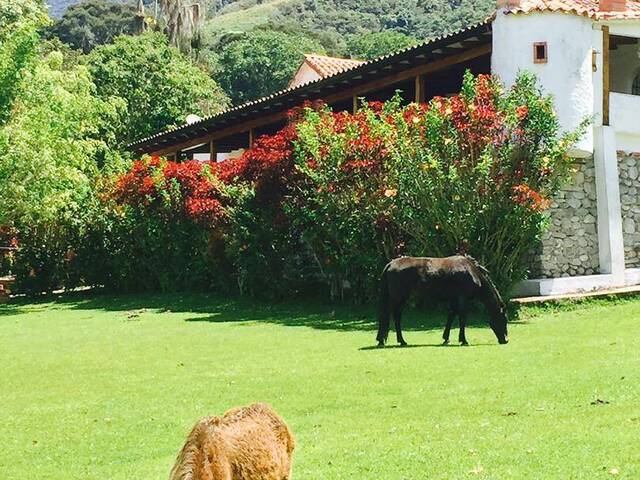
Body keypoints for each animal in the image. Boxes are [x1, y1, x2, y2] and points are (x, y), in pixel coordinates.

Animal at [376, 256, 510, 346]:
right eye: (504, 320)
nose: (505, 340)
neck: (471, 272)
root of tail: (390, 264)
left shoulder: (454, 300)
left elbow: (451, 317)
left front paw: (446, 338)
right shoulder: (462, 299)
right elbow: (462, 319)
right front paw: (463, 340)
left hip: (402, 299)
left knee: (397, 317)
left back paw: (402, 341)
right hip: (397, 298)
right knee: (386, 315)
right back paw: (381, 341)